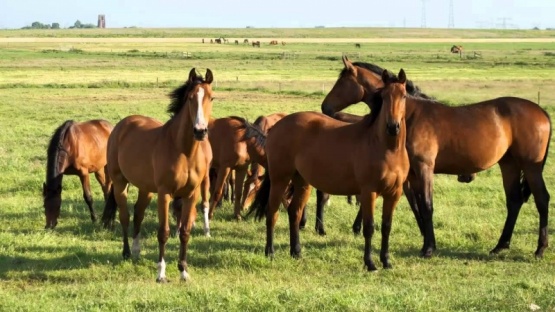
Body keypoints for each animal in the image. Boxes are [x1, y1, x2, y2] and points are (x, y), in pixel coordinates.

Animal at [101, 67, 214, 282]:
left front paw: (183, 271)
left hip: (146, 189)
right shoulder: (165, 193)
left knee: (138, 213)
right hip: (120, 183)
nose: (200, 131)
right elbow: (163, 232)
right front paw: (161, 273)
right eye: (190, 98)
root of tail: (122, 125)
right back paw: (126, 252)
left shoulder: (191, 194)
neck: (184, 151)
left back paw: (136, 251)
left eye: (211, 97)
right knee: (125, 216)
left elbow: (185, 232)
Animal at [250, 69, 410, 270]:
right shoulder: (368, 192)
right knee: (272, 212)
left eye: (404, 96)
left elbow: (387, 226)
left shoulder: (394, 193)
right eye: (384, 97)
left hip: (302, 182)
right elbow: (369, 227)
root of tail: (276, 126)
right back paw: (270, 252)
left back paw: (296, 252)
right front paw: (370, 263)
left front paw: (386, 261)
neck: (387, 148)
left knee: (294, 212)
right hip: (280, 179)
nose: (392, 127)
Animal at [320, 56, 552, 258]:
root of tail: (541, 111)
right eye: (384, 97)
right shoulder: (413, 174)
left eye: (342, 81)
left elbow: (427, 205)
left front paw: (429, 248)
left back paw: (540, 249)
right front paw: (427, 241)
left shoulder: (424, 168)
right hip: (509, 164)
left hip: (531, 167)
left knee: (542, 199)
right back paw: (500, 245)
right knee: (514, 201)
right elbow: (419, 206)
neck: (411, 116)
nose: (325, 107)